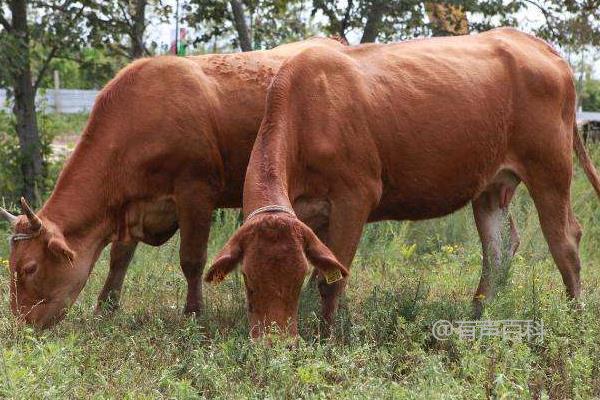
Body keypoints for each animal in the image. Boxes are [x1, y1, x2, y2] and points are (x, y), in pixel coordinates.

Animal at [1, 36, 346, 326]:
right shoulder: (132, 204)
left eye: (30, 268)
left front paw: (193, 314)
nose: (20, 326)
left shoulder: (195, 192)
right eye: (12, 266)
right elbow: (119, 258)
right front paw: (105, 309)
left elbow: (192, 259)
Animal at [207, 27, 600, 338]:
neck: (308, 110)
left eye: (292, 279)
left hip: (550, 168)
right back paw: (475, 319)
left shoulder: (355, 196)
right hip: (492, 183)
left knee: (565, 240)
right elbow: (328, 272)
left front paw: (328, 339)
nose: (274, 344)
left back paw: (575, 318)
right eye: (249, 283)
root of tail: (530, 42)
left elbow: (330, 281)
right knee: (499, 250)